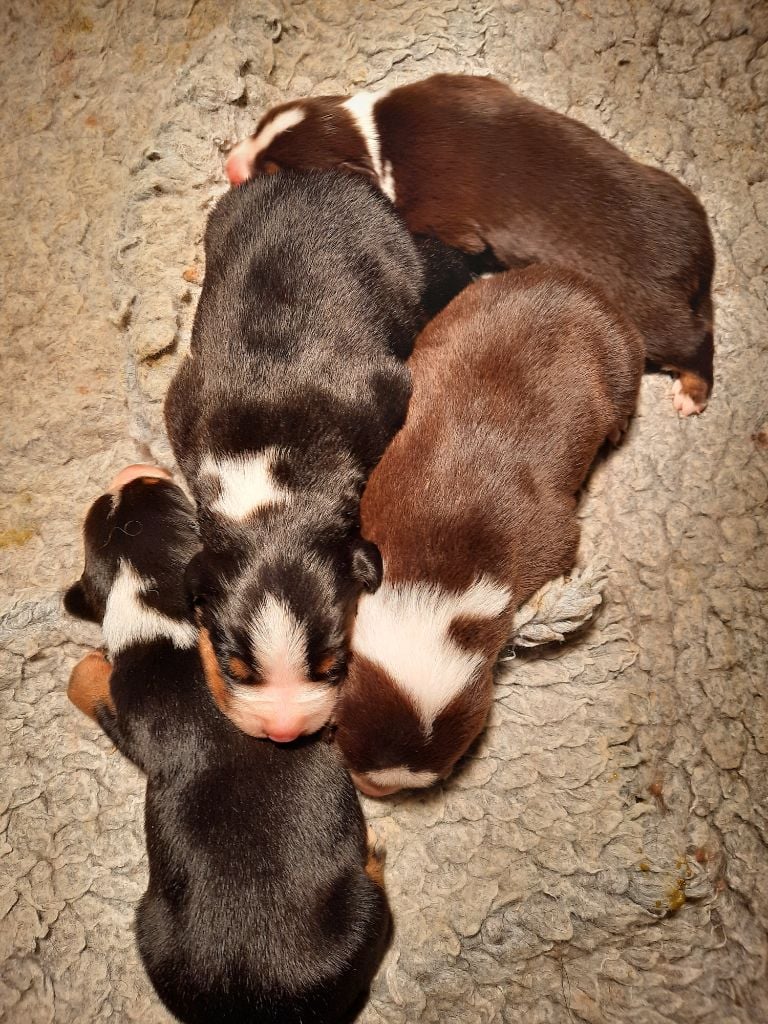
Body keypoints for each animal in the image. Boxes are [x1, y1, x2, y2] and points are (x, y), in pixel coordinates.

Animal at [61, 468, 391, 1024]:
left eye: (151, 494)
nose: (132, 475)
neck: (154, 600)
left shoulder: (126, 707)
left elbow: (85, 680)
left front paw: (87, 659)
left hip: (359, 912)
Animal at [165, 169, 479, 745]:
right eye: (232, 665)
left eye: (334, 664)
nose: (285, 733)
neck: (272, 490)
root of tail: (313, 177)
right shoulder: (182, 407)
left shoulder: (383, 396)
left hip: (407, 254)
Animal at [227, 72, 716, 417]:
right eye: (257, 126)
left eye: (273, 170)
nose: (230, 165)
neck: (373, 137)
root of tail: (700, 253)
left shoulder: (441, 217)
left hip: (652, 315)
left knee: (694, 340)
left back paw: (692, 392)